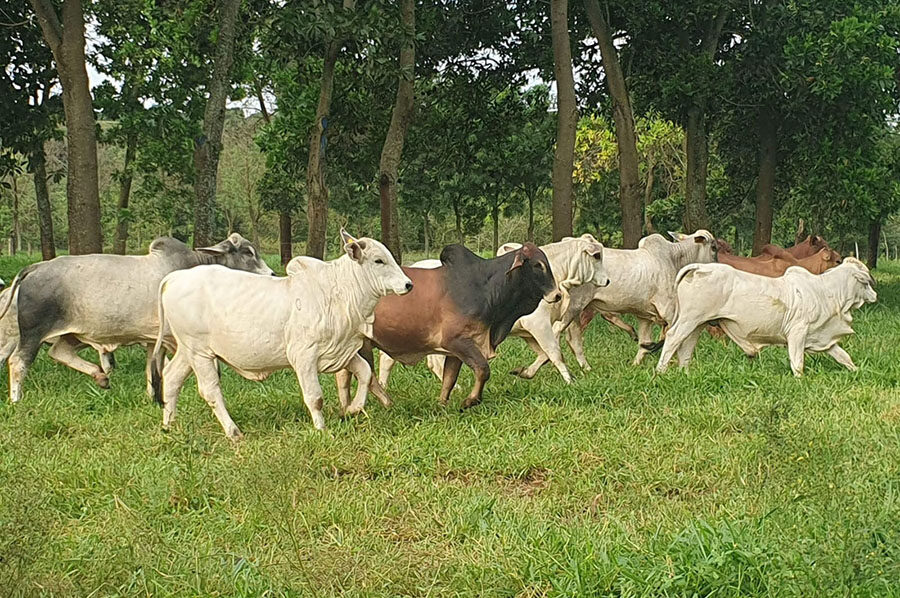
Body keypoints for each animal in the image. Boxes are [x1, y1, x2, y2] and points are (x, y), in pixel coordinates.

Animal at [3, 234, 272, 404]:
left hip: (74, 333)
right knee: (18, 362)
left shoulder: (154, 339)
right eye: (247, 252)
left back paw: (101, 377)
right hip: (33, 332)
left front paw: (153, 398)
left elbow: (153, 371)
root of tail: (35, 267)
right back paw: (16, 399)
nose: (271, 273)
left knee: (59, 352)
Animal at [151, 231, 412, 440]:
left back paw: (169, 425)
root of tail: (174, 278)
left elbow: (365, 373)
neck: (337, 292)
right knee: (210, 390)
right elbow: (315, 397)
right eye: (379, 260)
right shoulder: (304, 356)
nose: (408, 284)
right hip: (200, 352)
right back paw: (233, 432)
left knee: (171, 378)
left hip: (188, 351)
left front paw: (352, 409)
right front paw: (322, 429)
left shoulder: (341, 351)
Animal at [380, 237, 612, 386]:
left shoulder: (527, 332)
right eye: (597, 256)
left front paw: (524, 372)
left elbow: (543, 355)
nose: (608, 280)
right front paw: (570, 381)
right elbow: (555, 353)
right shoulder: (539, 325)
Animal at [564, 232, 716, 368]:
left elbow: (646, 342)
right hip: (574, 306)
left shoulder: (645, 316)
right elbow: (673, 338)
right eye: (714, 247)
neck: (674, 258)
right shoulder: (669, 310)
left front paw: (635, 364)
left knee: (574, 338)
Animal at [656, 256, 876, 378]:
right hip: (689, 319)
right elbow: (797, 362)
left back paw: (685, 373)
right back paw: (660, 371)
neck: (826, 292)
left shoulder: (823, 337)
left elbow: (844, 357)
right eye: (865, 282)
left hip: (698, 324)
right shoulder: (797, 333)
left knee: (686, 346)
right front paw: (799, 379)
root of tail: (700, 267)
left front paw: (857, 370)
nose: (875, 295)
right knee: (673, 338)